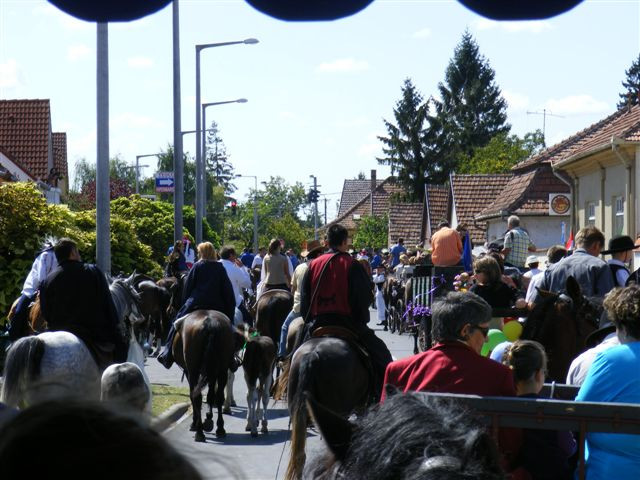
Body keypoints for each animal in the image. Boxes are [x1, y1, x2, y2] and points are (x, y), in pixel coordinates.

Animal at [172, 310, 235, 440]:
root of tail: (209, 323)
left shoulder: (189, 372)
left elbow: (193, 395)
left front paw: (196, 422)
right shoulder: (212, 372)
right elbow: (211, 395)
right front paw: (209, 417)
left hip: (193, 371)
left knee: (197, 397)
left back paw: (199, 431)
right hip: (221, 370)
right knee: (219, 396)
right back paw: (220, 428)